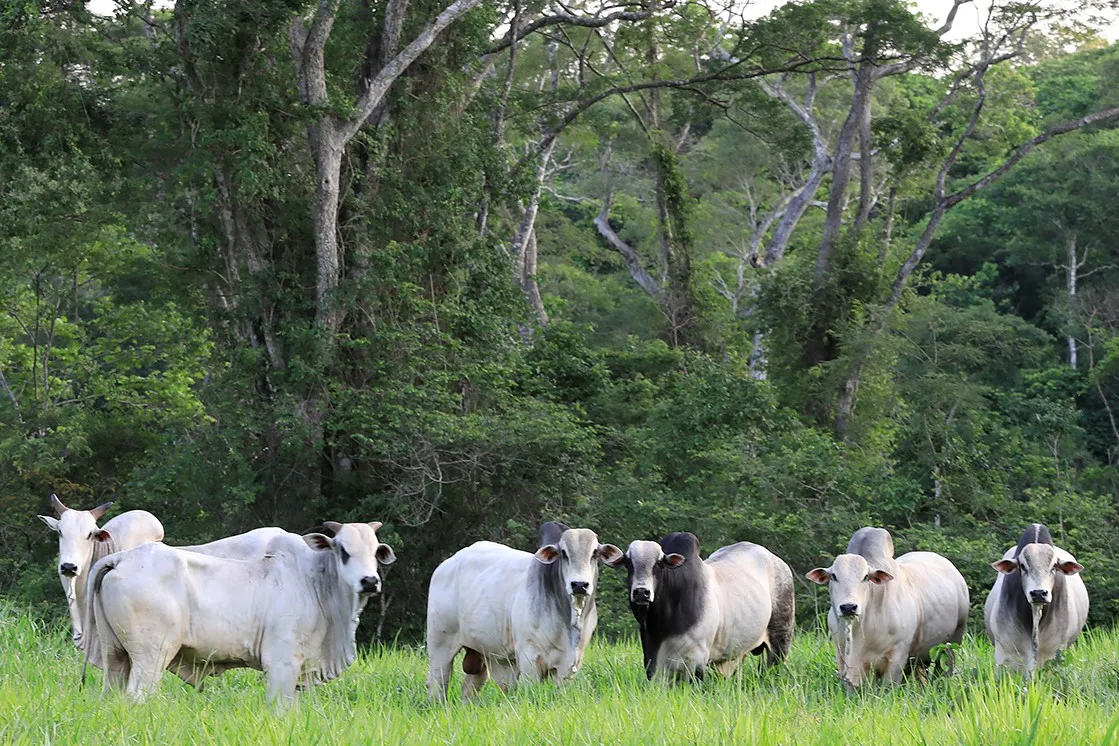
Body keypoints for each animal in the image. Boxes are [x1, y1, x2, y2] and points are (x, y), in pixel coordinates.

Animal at [81, 518, 393, 706]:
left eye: (375, 552)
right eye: (343, 550)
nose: (370, 581)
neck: (315, 581)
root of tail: (121, 558)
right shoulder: (281, 663)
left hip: (115, 655)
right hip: (151, 655)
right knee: (138, 696)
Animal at [805, 530, 971, 688]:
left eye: (866, 577)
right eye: (833, 576)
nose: (848, 607)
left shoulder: (898, 656)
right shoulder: (842, 655)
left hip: (952, 643)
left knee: (943, 670)